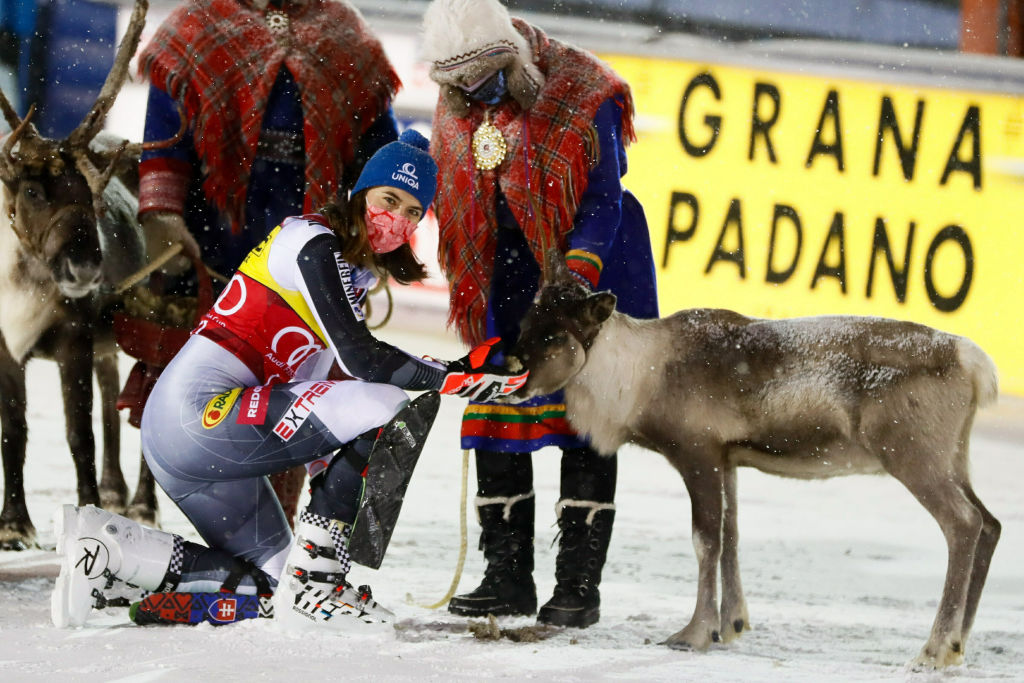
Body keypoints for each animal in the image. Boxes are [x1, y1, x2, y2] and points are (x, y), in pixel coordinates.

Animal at [512, 250, 999, 667]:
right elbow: (731, 536)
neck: (638, 377)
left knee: (963, 523)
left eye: (555, 334)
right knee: (989, 523)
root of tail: (974, 363)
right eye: (525, 323)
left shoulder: (697, 452)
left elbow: (705, 541)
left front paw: (693, 634)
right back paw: (959, 643)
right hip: (954, 456)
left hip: (913, 454)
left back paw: (934, 649)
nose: (514, 377)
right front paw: (731, 625)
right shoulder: (728, 460)